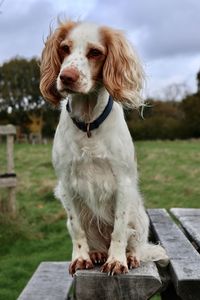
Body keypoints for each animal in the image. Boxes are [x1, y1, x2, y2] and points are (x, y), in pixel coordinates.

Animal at [39, 19, 168, 276]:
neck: (88, 122)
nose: (66, 77)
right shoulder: (66, 184)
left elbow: (119, 230)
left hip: (139, 215)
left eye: (95, 52)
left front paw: (117, 260)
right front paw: (81, 258)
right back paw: (97, 253)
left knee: (136, 243)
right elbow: (77, 228)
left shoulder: (123, 183)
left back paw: (131, 256)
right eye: (64, 48)